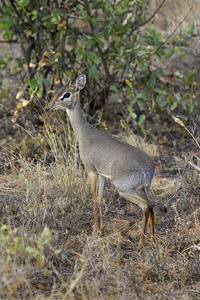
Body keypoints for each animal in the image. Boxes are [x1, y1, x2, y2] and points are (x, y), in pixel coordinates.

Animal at [46, 74, 155, 247]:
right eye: (57, 90)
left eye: (67, 94)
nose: (50, 107)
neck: (84, 133)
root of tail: (147, 168)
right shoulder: (102, 174)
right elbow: (101, 199)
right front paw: (102, 230)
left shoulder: (91, 171)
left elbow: (93, 200)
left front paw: (95, 231)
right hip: (143, 189)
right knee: (151, 206)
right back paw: (152, 238)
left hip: (125, 190)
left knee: (145, 207)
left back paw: (140, 243)